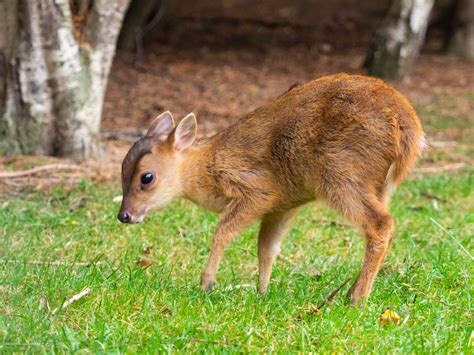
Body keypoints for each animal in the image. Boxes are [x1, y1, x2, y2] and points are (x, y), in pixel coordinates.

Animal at [116, 73, 424, 306]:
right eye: (122, 169)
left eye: (146, 177)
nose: (124, 215)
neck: (207, 169)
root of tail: (409, 129)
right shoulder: (282, 206)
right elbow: (267, 246)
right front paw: (261, 292)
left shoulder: (258, 190)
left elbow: (223, 230)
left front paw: (206, 283)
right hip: (377, 184)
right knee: (383, 228)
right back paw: (351, 291)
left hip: (341, 172)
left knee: (381, 223)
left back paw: (357, 298)